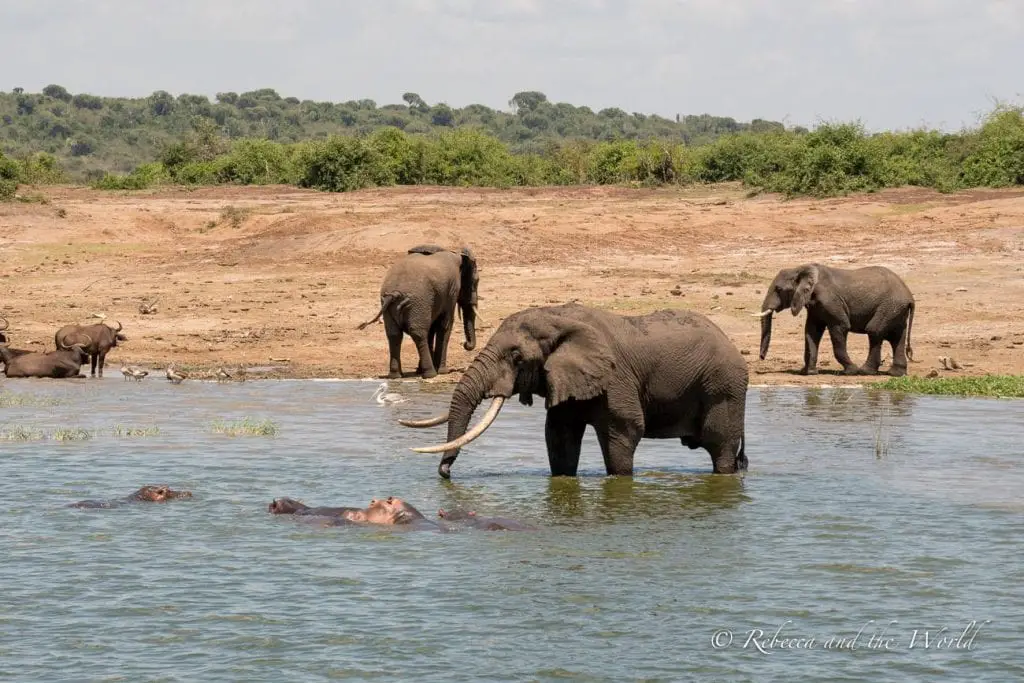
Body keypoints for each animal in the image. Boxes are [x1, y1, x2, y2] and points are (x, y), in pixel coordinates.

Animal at [356, 244, 479, 378]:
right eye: (476, 281)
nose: (465, 344)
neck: (458, 255)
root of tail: (395, 293)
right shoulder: (451, 291)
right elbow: (445, 326)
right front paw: (442, 371)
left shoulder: (433, 300)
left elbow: (432, 327)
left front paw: (421, 370)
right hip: (418, 302)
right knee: (419, 334)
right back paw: (430, 374)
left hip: (394, 304)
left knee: (394, 335)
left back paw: (396, 375)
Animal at [403, 301, 749, 479]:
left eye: (516, 357)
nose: (445, 472)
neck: (558, 318)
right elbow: (559, 436)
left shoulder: (615, 379)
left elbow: (625, 433)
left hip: (723, 388)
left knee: (720, 447)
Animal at [757, 264, 917, 378]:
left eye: (778, 289)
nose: (762, 357)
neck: (800, 268)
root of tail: (910, 296)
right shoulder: (815, 306)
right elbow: (812, 331)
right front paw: (808, 372)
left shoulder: (830, 301)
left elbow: (840, 327)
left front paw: (851, 372)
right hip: (896, 309)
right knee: (896, 337)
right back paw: (896, 374)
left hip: (890, 306)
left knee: (874, 330)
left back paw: (865, 371)